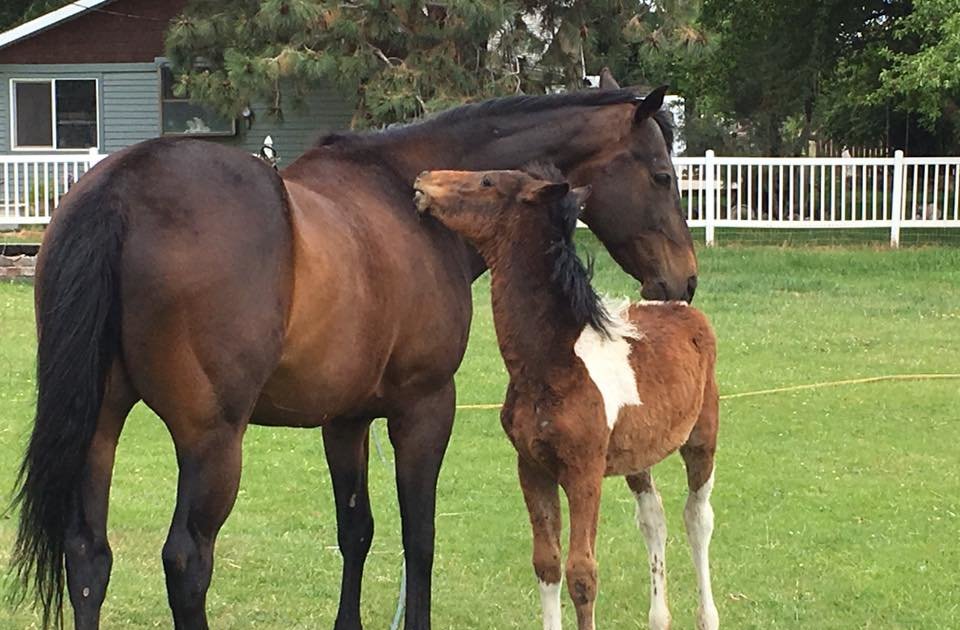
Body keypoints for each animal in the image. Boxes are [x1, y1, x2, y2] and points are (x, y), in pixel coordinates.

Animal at [412, 166, 719, 630]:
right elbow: (548, 563)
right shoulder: (532, 468)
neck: (551, 364)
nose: (423, 180)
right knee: (654, 519)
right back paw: (659, 616)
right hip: (638, 456)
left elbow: (582, 573)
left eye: (487, 182)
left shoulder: (583, 473)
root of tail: (684, 308)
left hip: (701, 439)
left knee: (697, 518)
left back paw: (708, 616)